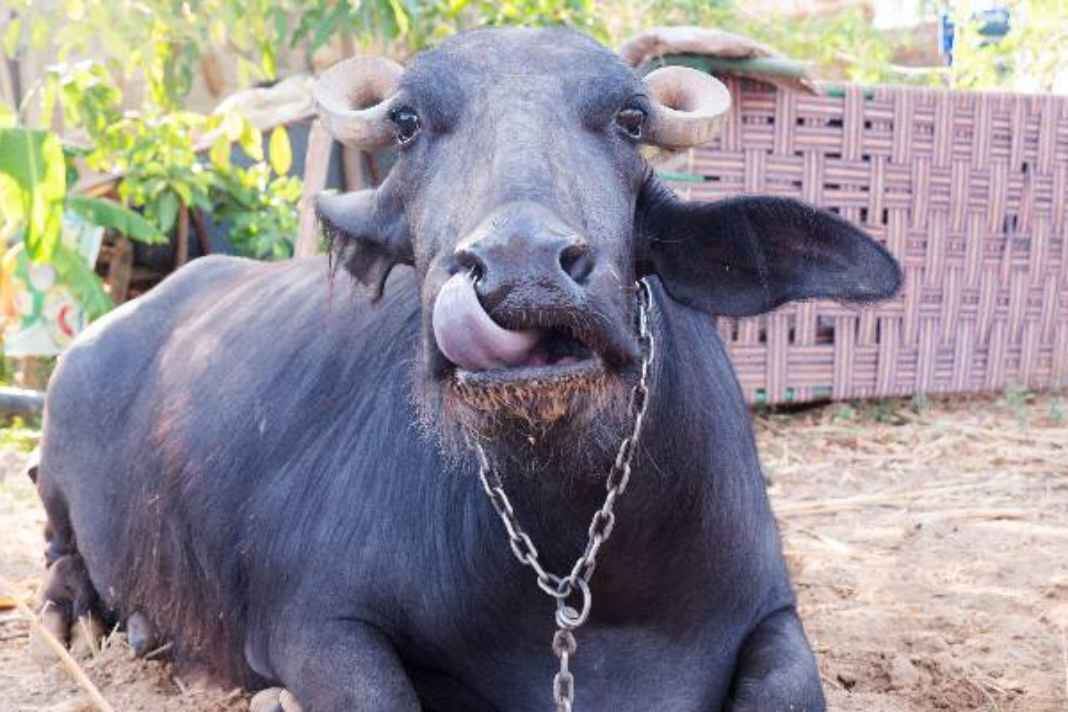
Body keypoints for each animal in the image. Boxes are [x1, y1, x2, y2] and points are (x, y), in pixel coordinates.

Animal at [33, 27, 900, 711]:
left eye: (628, 120)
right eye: (408, 123)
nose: (521, 269)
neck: (572, 555)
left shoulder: (772, 612)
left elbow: (790, 688)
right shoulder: (314, 622)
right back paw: (78, 615)